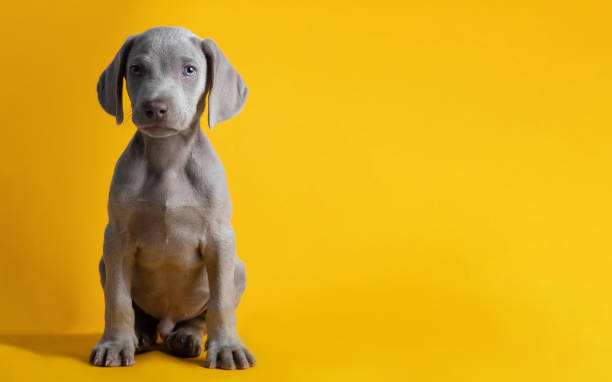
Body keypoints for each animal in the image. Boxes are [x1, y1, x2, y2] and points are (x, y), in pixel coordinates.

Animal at [89, 26, 255, 370]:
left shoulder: (220, 238)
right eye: (136, 69)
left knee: (199, 317)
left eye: (189, 70)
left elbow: (221, 303)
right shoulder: (117, 237)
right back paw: (139, 335)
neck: (168, 159)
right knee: (140, 313)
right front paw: (115, 344)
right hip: (103, 263)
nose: (156, 108)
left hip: (238, 269)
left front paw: (228, 347)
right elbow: (117, 300)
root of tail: (166, 324)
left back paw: (186, 337)